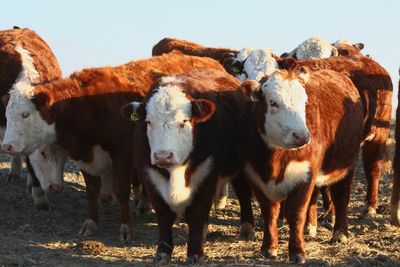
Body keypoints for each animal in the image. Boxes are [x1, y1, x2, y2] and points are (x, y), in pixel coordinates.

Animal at [120, 69, 255, 266]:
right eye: (149, 122)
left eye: (184, 121)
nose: (163, 155)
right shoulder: (149, 176)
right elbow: (164, 215)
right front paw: (162, 253)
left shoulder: (207, 172)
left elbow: (197, 213)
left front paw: (195, 253)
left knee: (244, 193)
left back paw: (247, 228)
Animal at [239, 63, 368, 266]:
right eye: (273, 103)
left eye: (304, 103)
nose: (301, 136)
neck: (273, 161)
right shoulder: (254, 174)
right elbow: (269, 212)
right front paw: (269, 248)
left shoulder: (305, 175)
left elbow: (296, 213)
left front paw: (297, 251)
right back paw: (311, 226)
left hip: (348, 163)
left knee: (341, 196)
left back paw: (339, 233)